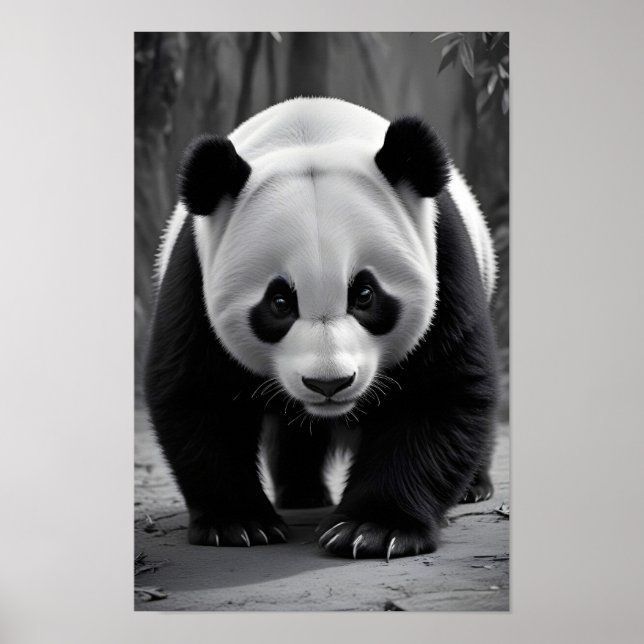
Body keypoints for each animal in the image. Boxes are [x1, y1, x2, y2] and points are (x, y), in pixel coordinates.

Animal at [145, 97, 498, 560]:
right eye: (279, 302)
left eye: (364, 295)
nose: (329, 383)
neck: (312, 133)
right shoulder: (195, 277)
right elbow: (201, 393)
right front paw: (239, 523)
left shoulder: (443, 260)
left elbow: (439, 389)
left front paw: (373, 528)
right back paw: (301, 493)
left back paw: (475, 487)